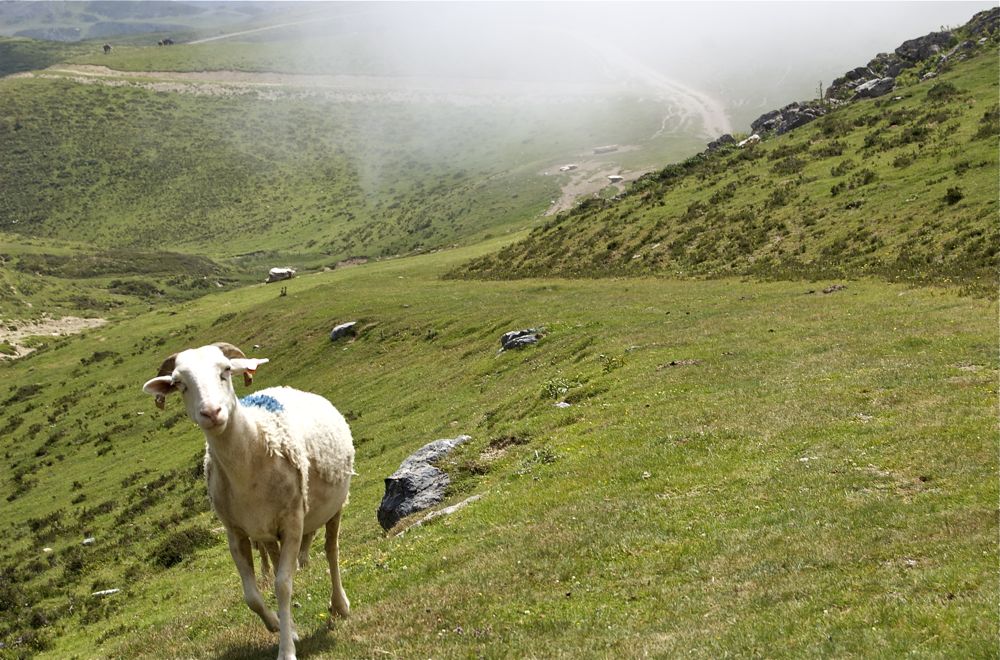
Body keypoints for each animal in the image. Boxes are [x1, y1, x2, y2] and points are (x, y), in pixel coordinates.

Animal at [143, 342, 354, 656]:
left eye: (226, 370)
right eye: (179, 384)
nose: (211, 412)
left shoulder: (292, 522)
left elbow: (283, 586)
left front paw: (286, 651)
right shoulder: (237, 533)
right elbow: (252, 596)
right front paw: (281, 627)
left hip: (335, 506)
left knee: (331, 551)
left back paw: (340, 605)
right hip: (268, 533)